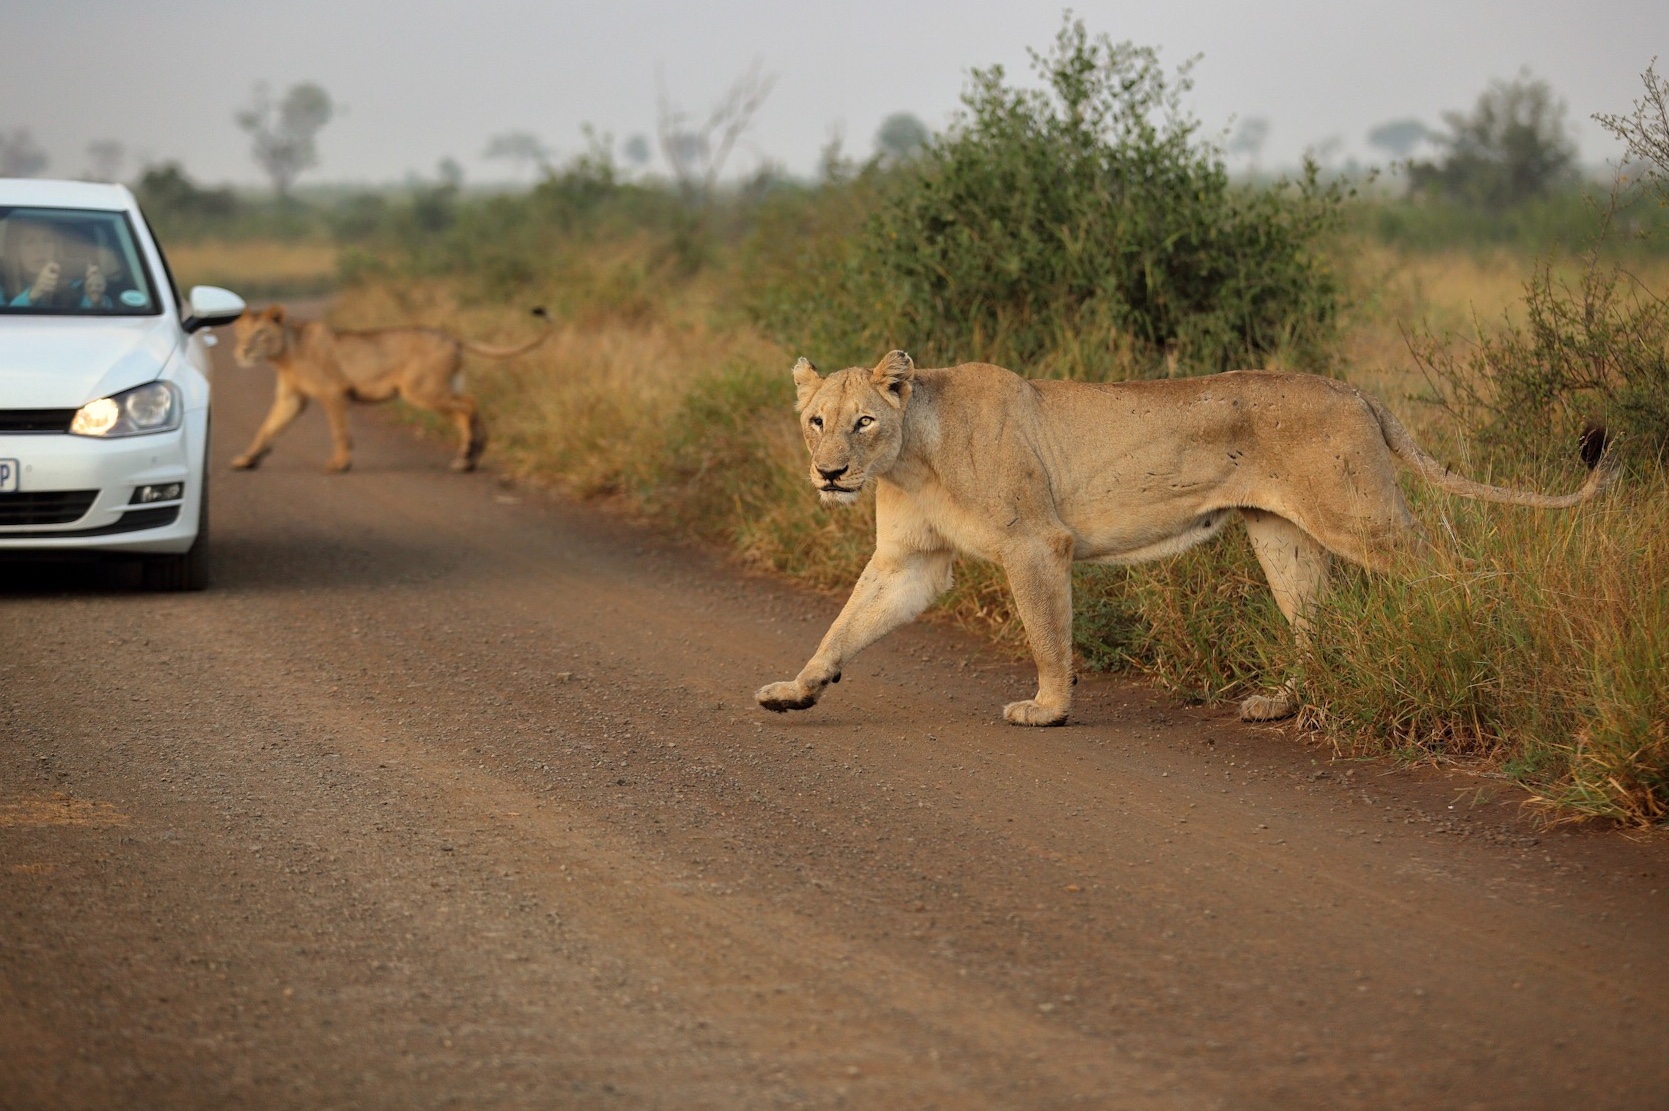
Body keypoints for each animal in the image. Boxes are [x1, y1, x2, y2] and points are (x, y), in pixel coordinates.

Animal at [230, 305, 552, 474]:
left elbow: (339, 430)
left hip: (420, 389)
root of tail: (451, 336)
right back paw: (471, 456)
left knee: (468, 406)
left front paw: (340, 463)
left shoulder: (333, 391)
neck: (284, 352)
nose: (243, 351)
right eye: (241, 333)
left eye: (260, 334)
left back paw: (466, 455)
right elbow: (267, 428)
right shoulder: (291, 398)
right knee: (469, 406)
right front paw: (248, 458)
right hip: (439, 386)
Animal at [756, 351, 1611, 726]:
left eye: (864, 420)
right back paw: (1278, 703)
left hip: (1359, 515)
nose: (829, 473)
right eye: (815, 420)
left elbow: (1045, 634)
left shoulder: (1036, 541)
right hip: (1280, 534)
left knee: (1453, 571)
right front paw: (796, 688)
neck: (913, 452)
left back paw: (1481, 649)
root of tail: (1353, 389)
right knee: (1317, 622)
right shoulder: (911, 563)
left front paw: (1048, 707)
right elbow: (844, 624)